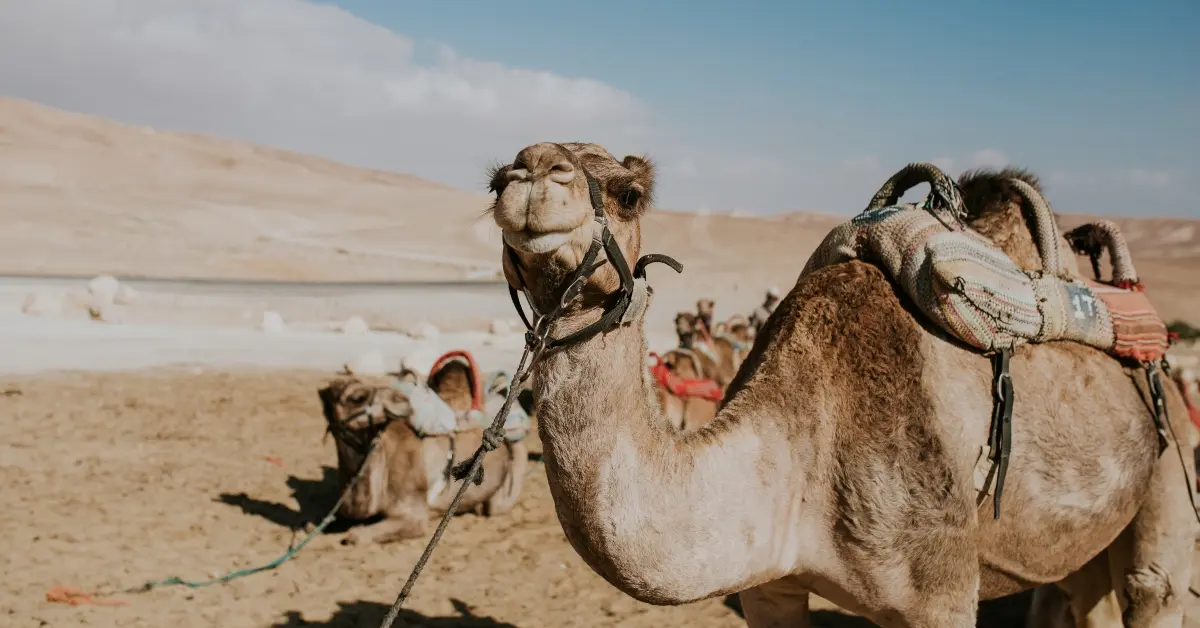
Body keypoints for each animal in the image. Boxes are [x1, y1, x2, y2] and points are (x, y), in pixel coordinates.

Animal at [488, 141, 1194, 627]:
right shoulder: (768, 587)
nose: (532, 172)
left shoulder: (939, 593)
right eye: (495, 180)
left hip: (1171, 448)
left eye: (629, 193)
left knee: (1151, 584)